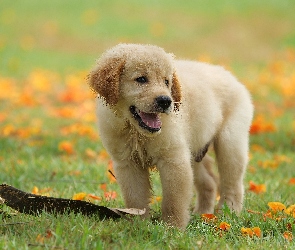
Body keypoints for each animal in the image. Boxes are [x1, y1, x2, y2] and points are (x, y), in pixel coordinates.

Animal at [88, 44, 254, 229]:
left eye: (166, 82)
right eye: (141, 79)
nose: (165, 101)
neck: (136, 132)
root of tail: (230, 76)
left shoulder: (174, 159)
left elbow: (174, 200)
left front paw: (173, 227)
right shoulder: (128, 163)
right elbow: (135, 198)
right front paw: (138, 224)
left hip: (230, 143)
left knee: (233, 185)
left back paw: (228, 214)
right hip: (194, 151)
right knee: (209, 183)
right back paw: (203, 214)